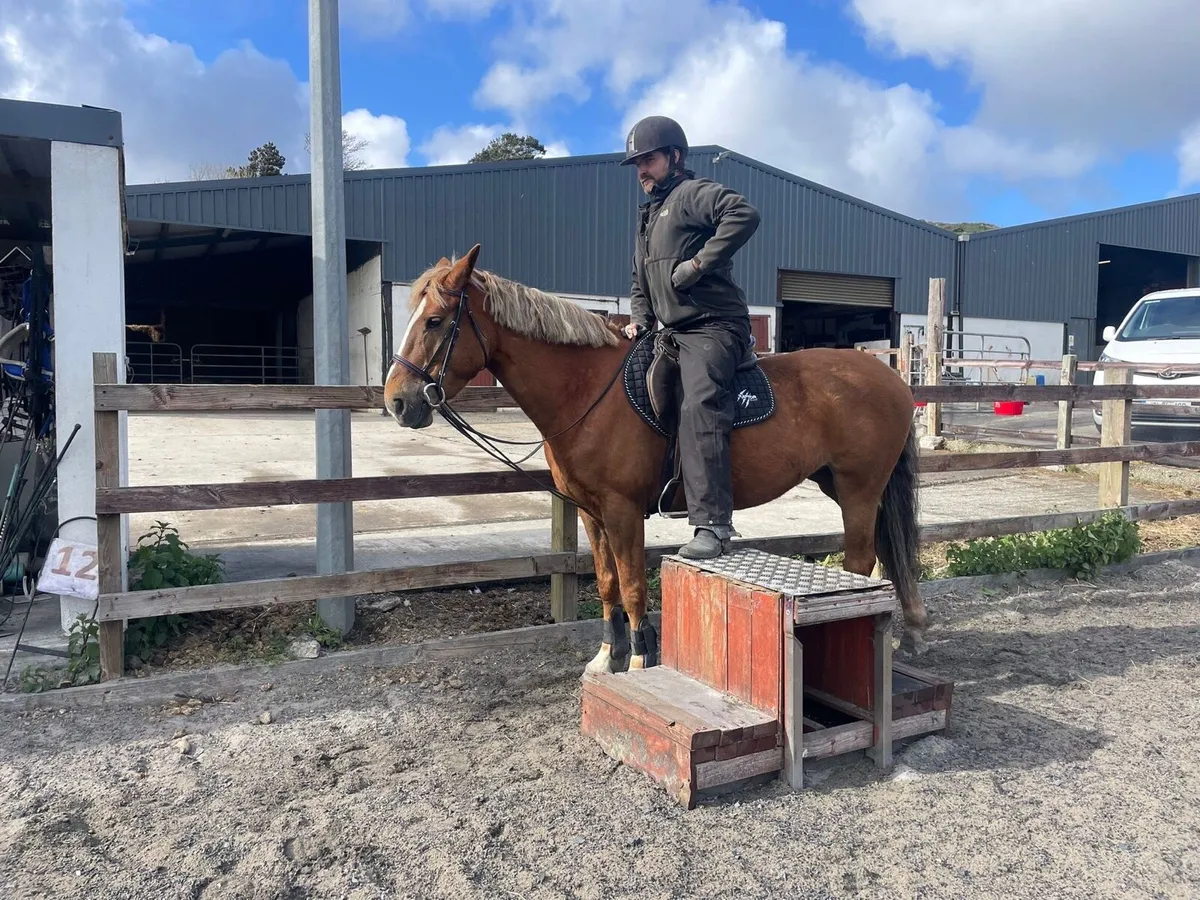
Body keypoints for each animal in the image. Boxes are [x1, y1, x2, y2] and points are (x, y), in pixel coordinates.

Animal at [383, 244, 928, 675]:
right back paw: (913, 632)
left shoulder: (623, 510)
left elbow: (631, 586)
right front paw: (610, 655)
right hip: (845, 484)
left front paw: (642, 657)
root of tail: (890, 376)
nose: (397, 401)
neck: (587, 390)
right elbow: (607, 584)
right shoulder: (591, 512)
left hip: (858, 488)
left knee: (862, 558)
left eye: (435, 321)